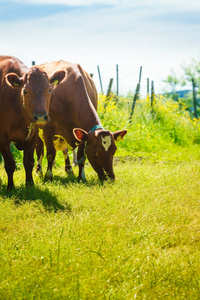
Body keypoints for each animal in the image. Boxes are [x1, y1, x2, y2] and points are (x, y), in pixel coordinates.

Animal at [0, 55, 65, 189]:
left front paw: (30, 184)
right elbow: (9, 163)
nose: (40, 117)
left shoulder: (33, 135)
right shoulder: (2, 137)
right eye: (25, 91)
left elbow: (29, 162)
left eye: (49, 89)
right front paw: (10, 187)